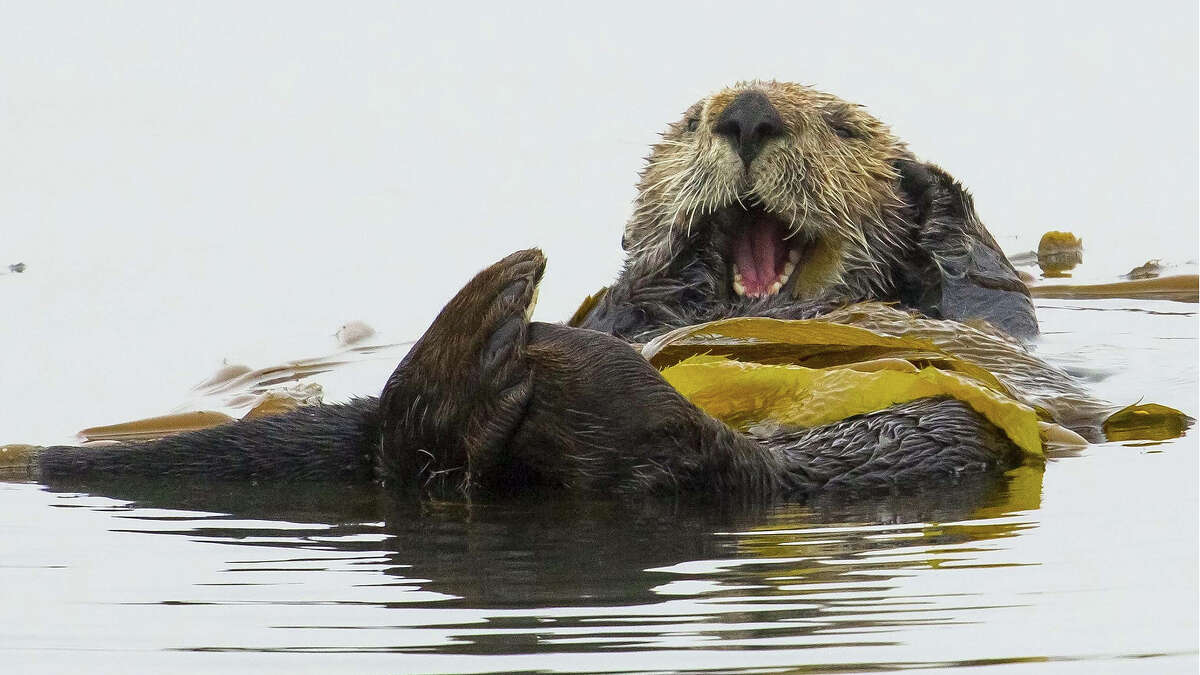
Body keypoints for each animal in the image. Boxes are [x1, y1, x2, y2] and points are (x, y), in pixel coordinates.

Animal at [28, 81, 1046, 497]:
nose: (748, 114)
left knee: (702, 468)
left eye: (842, 127)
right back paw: (493, 326)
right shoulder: (634, 304)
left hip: (918, 434)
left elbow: (985, 287)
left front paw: (936, 192)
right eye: (693, 118)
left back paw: (499, 325)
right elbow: (635, 295)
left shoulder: (978, 301)